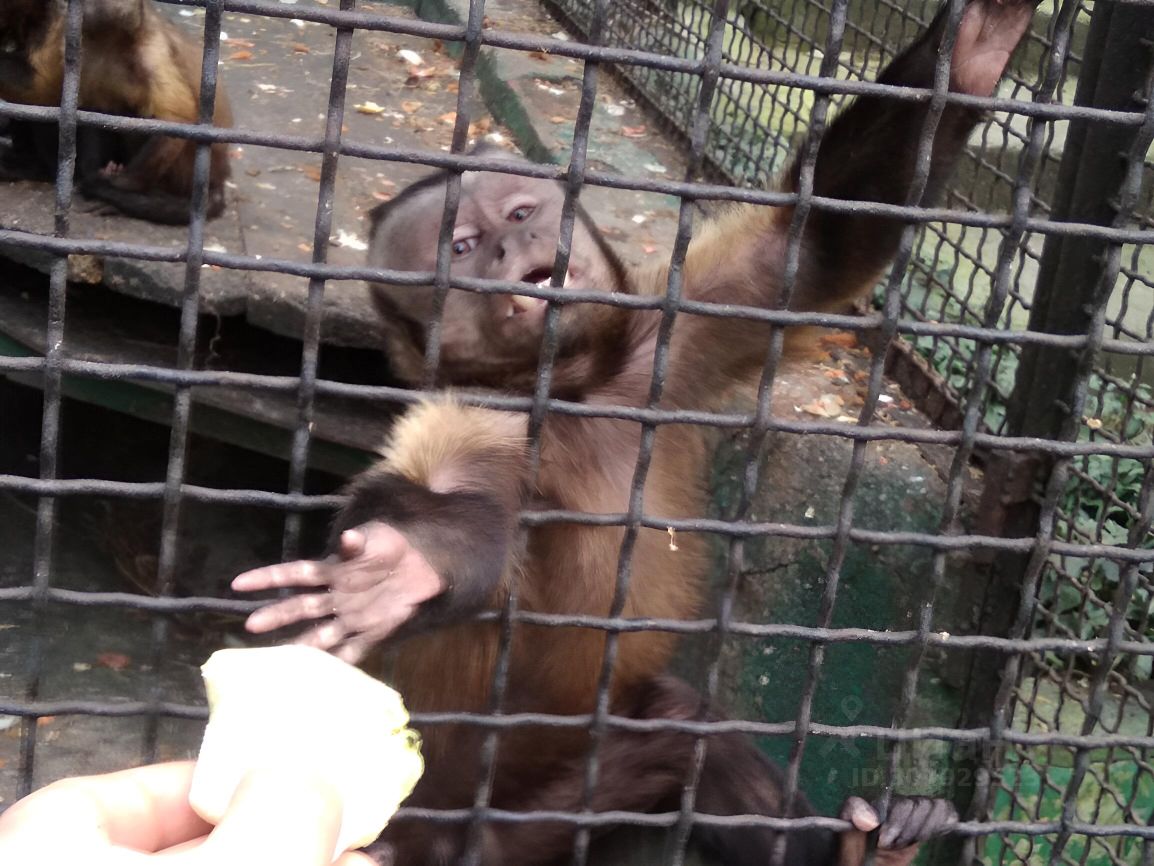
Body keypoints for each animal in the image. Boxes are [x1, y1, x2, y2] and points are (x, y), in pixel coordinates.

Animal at [0, 0, 232, 225]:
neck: (111, 42)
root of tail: (218, 178)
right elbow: (91, 110)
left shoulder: (150, 52)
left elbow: (177, 119)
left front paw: (114, 183)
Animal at [230, 1, 1039, 863]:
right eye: (464, 247)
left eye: (520, 214)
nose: (515, 250)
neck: (574, 387)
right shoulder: (482, 417)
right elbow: (444, 497)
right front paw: (403, 564)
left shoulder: (663, 342)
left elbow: (813, 245)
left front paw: (974, 51)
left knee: (684, 736)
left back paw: (869, 850)